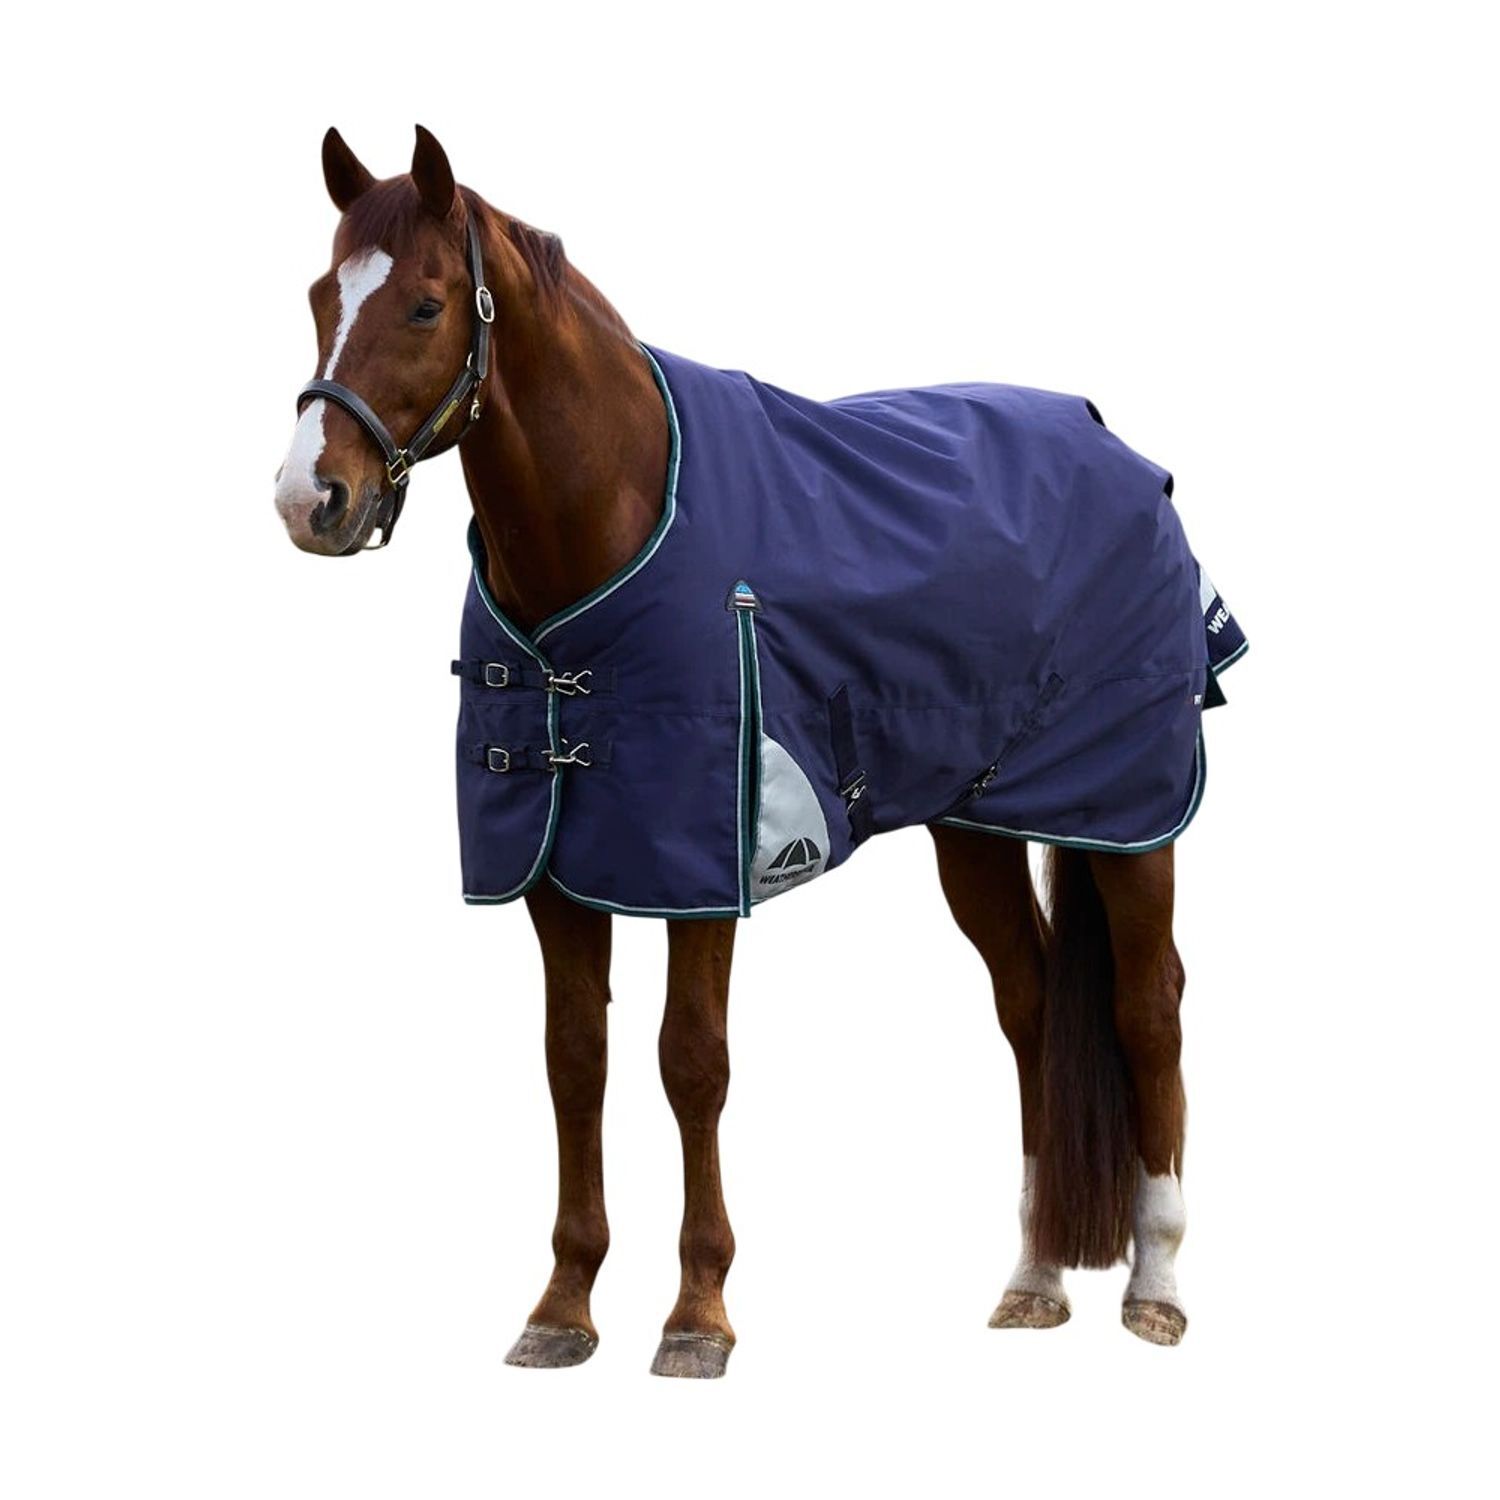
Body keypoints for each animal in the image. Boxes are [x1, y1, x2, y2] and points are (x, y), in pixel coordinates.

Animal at [274, 124, 1231, 1377]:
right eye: (318, 296)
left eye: (428, 305)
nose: (309, 499)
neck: (618, 515)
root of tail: (1119, 451)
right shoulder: (556, 868)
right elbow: (575, 1060)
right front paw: (563, 1305)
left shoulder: (699, 867)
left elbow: (692, 1062)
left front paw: (697, 1314)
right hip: (976, 825)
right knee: (1030, 1007)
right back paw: (1032, 1279)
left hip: (1128, 816)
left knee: (1146, 1009)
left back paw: (1156, 1286)